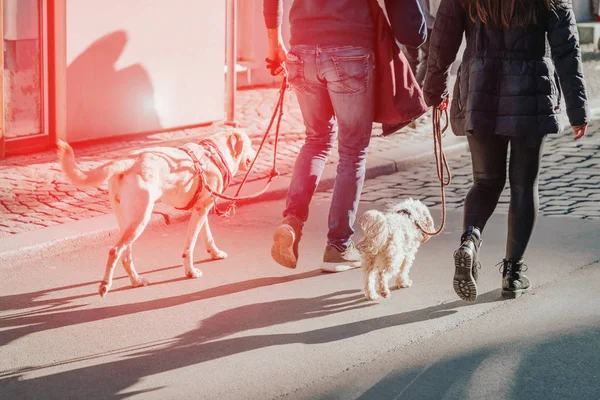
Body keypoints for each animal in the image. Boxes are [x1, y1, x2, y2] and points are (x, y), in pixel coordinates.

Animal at [58, 129, 258, 296]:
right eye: (250, 143)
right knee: (115, 251)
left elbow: (206, 235)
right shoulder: (201, 210)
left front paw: (215, 253)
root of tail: (129, 160)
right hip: (141, 219)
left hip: (127, 221)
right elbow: (190, 246)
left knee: (126, 256)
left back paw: (136, 281)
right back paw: (105, 285)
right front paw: (190, 271)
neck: (215, 155)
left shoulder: (202, 208)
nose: (256, 153)